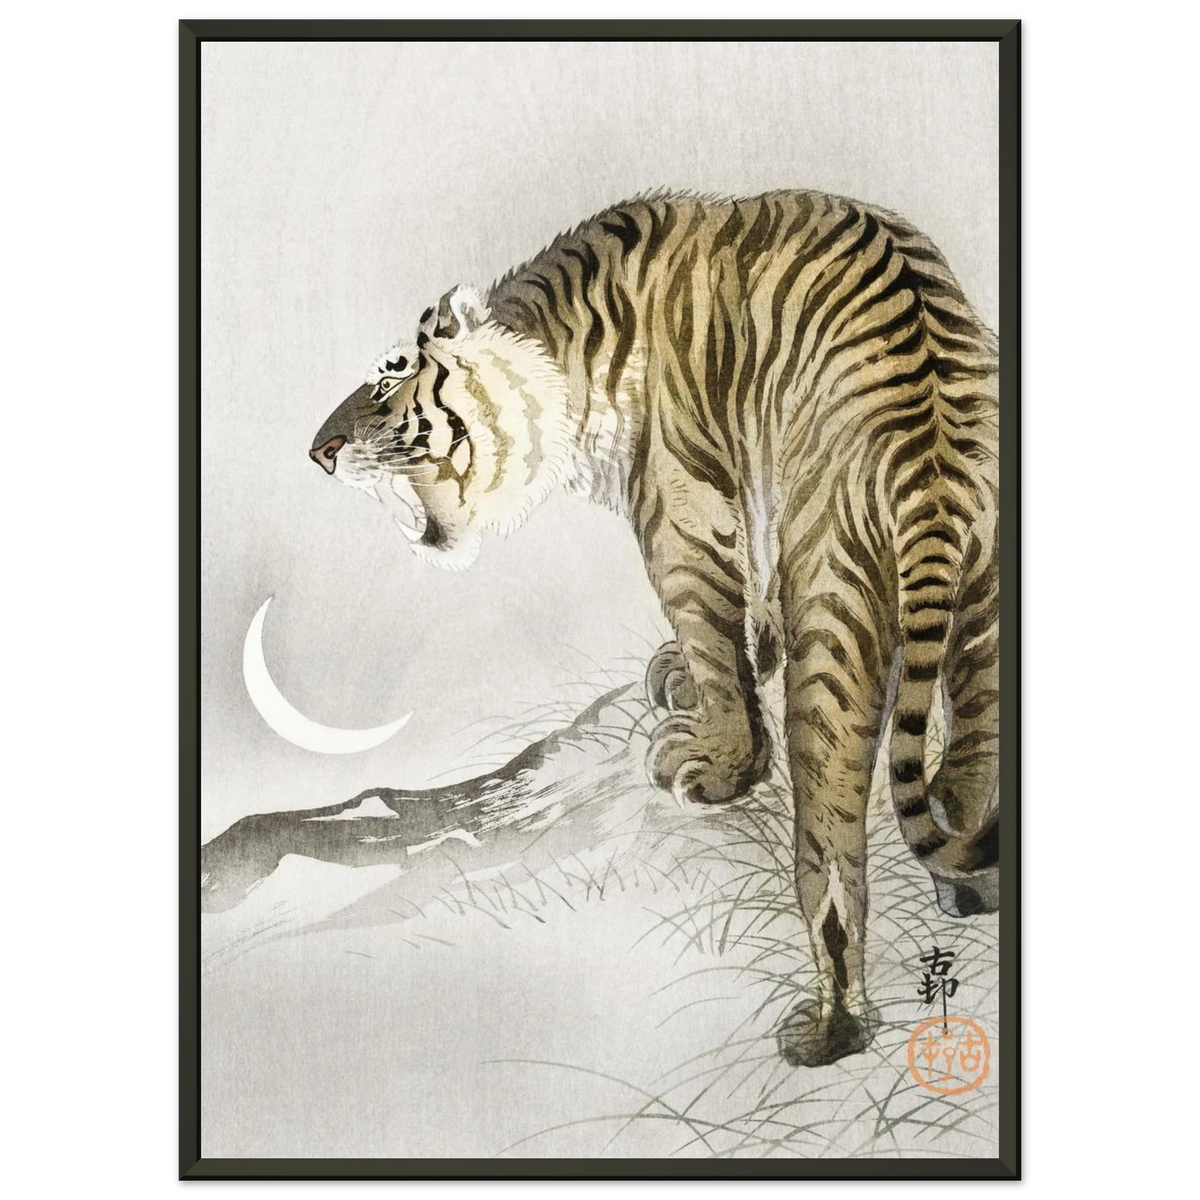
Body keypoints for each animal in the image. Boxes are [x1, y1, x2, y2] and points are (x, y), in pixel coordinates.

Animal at [309, 189, 1000, 1068]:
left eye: (387, 382)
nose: (318, 451)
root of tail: (935, 462)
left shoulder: (679, 507)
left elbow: (710, 626)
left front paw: (719, 760)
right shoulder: (751, 480)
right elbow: (748, 599)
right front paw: (711, 666)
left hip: (838, 614)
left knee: (833, 855)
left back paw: (829, 1028)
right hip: (986, 619)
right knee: (967, 773)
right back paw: (974, 890)